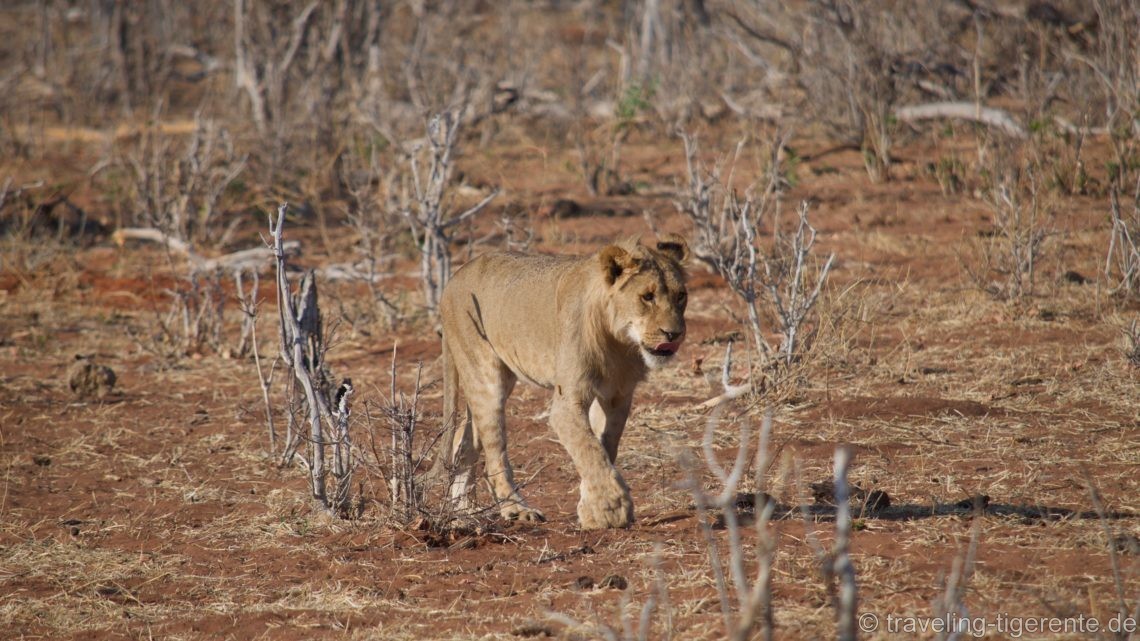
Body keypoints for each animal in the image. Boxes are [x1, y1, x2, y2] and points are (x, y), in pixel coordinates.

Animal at [428, 234, 688, 529]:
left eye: (681, 296)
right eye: (647, 296)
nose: (674, 334)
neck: (620, 343)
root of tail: (454, 279)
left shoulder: (616, 396)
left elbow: (603, 448)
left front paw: (590, 510)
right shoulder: (568, 401)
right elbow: (590, 450)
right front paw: (612, 510)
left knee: (464, 439)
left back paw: (464, 513)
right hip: (486, 376)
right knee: (493, 457)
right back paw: (516, 510)